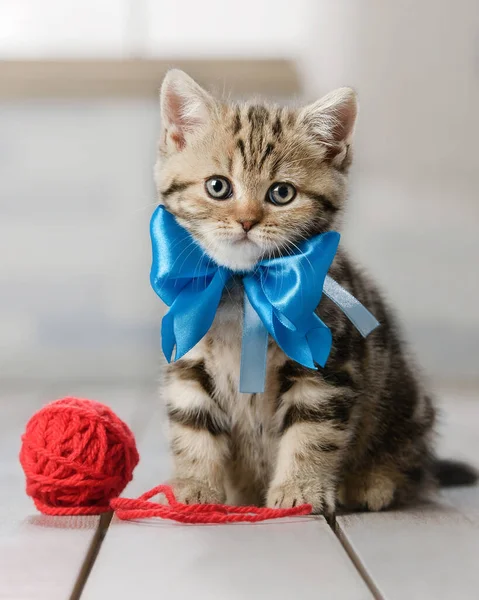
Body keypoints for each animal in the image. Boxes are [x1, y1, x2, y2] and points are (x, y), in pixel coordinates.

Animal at [155, 69, 476, 510]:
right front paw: (196, 488)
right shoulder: (189, 362)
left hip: (405, 407)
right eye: (218, 187)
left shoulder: (325, 366)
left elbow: (313, 433)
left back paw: (372, 483)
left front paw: (300, 490)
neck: (245, 288)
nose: (247, 221)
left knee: (412, 466)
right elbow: (193, 429)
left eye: (281, 193)